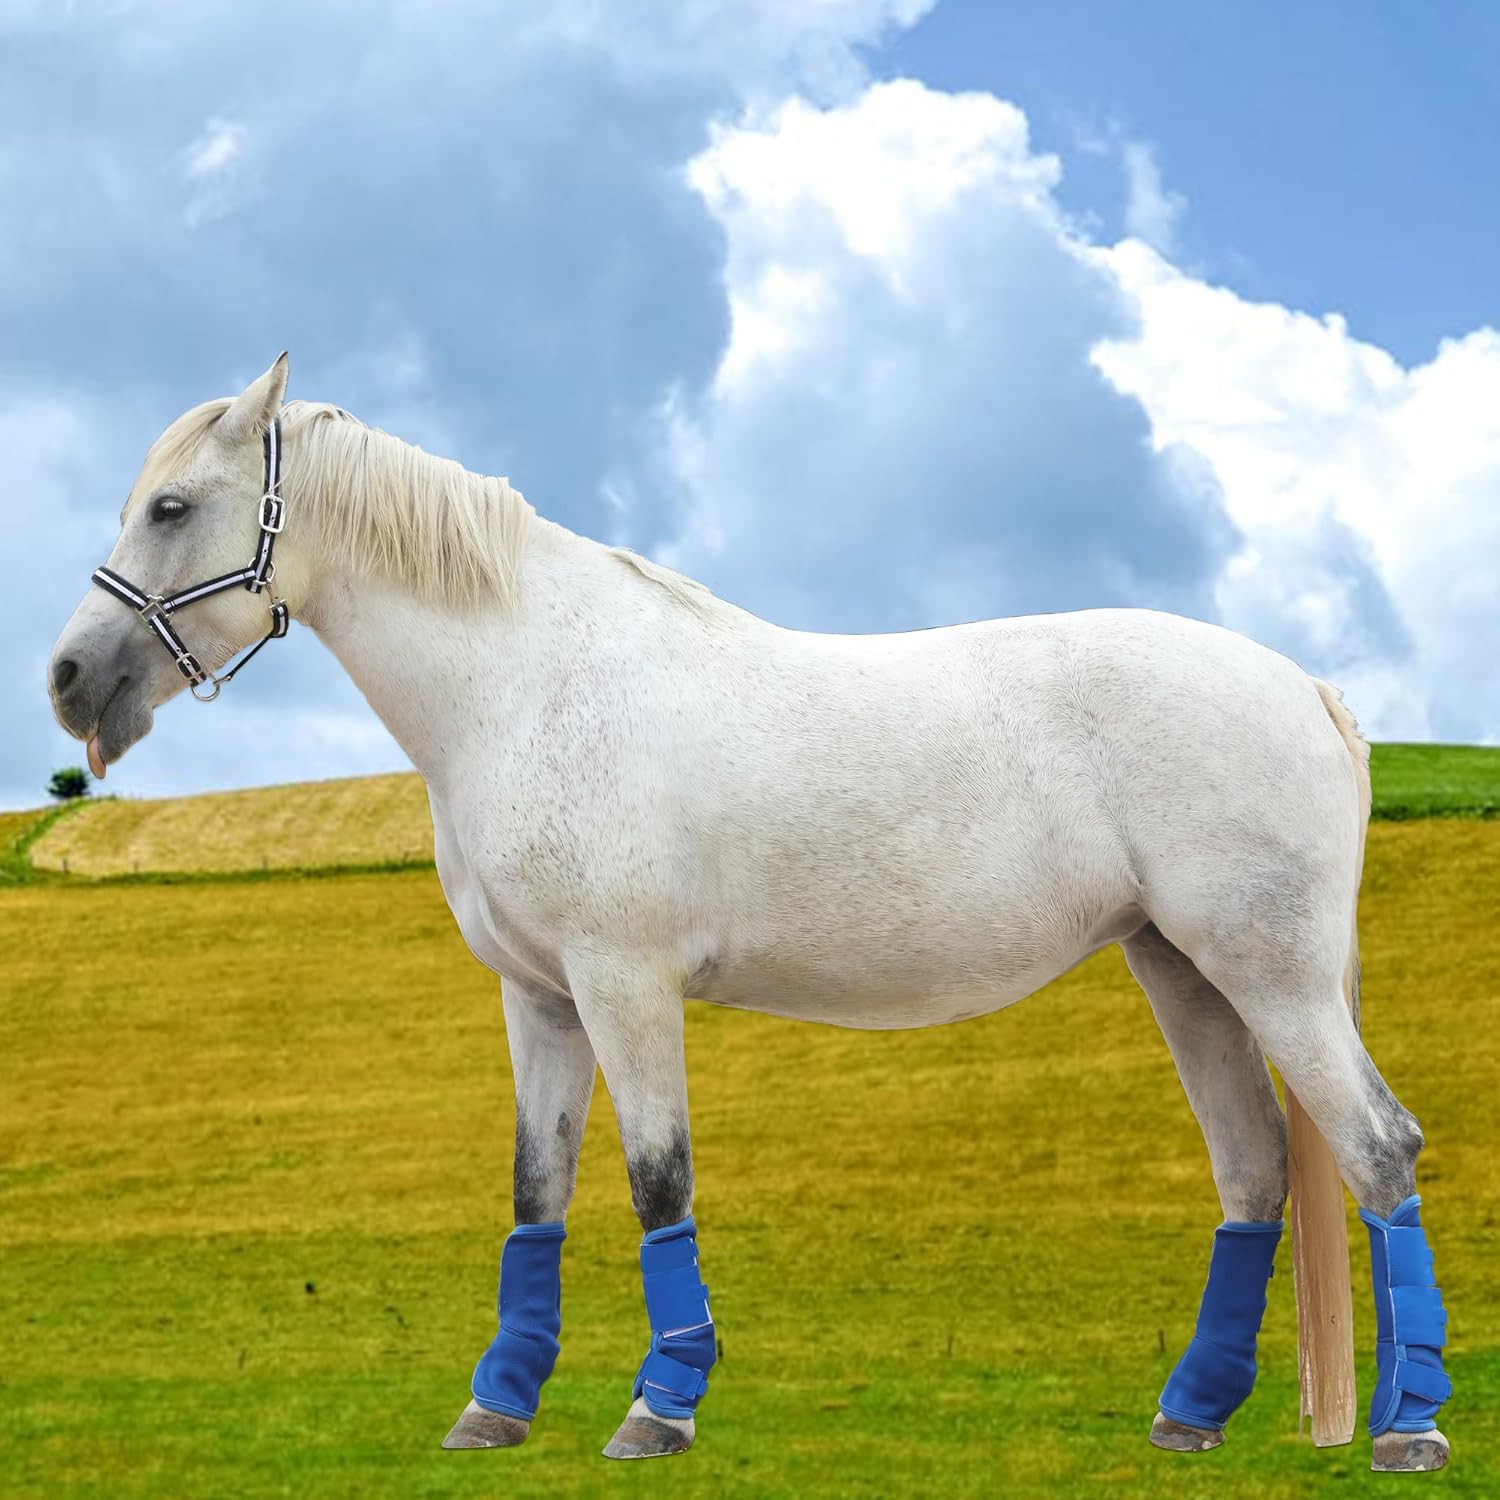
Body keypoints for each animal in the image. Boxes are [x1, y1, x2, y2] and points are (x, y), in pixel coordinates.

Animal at [47, 356, 1451, 1472]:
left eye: (172, 506)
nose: (68, 681)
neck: (525, 683)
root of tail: (1308, 689)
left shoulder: (623, 985)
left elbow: (656, 1180)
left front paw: (658, 1410)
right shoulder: (539, 998)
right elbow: (536, 1189)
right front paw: (496, 1410)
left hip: (1269, 975)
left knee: (1378, 1149)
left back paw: (1408, 1428)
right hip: (1184, 972)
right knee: (1257, 1170)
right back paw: (1193, 1413)